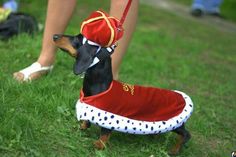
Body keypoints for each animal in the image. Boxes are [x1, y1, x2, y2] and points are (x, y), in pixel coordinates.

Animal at [53, 33, 194, 155]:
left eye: (77, 38)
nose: (54, 36)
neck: (102, 85)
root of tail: (181, 96)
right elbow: (86, 122)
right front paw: (81, 127)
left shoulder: (108, 116)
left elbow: (104, 133)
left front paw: (99, 145)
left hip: (176, 123)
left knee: (186, 135)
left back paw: (175, 149)